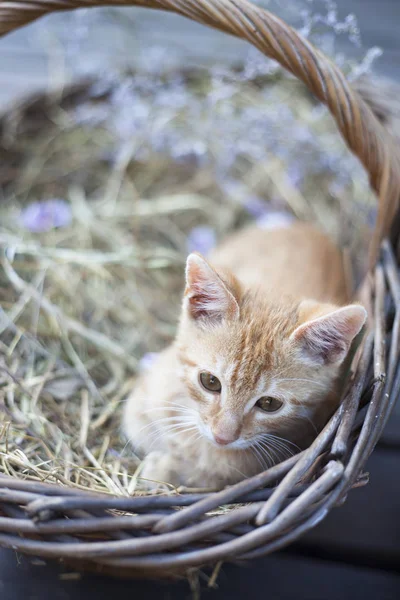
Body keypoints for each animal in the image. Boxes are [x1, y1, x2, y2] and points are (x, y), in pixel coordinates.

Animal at [124, 218, 366, 490]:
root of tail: (303, 226)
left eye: (269, 404)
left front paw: (168, 470)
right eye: (210, 382)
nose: (222, 437)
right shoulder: (139, 408)